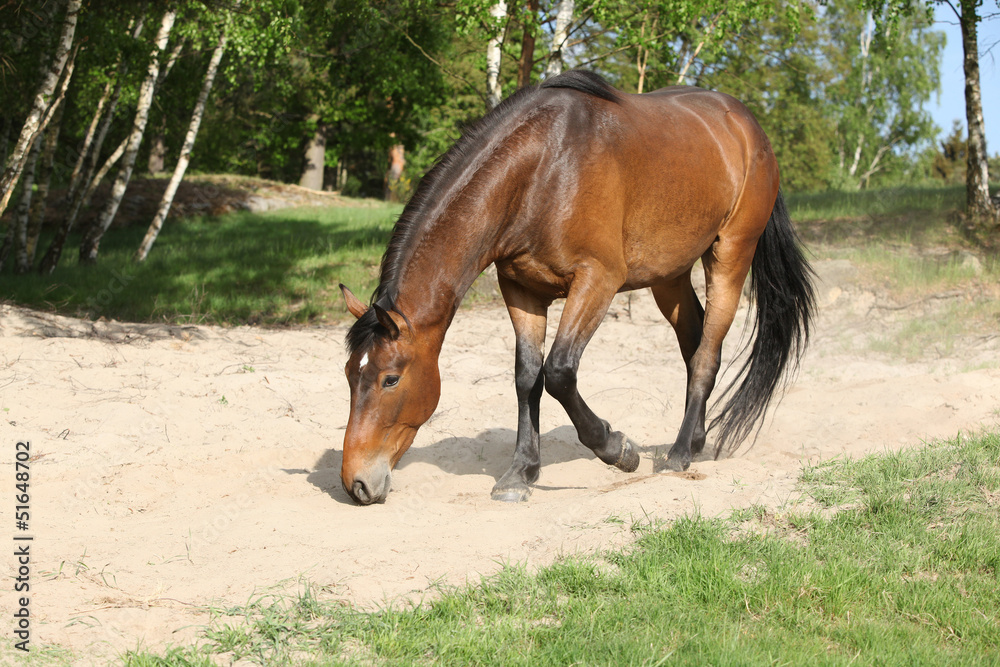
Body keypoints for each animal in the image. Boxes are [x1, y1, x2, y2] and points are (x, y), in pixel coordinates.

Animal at [338, 70, 814, 505]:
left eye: (390, 380)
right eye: (348, 375)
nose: (356, 484)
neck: (541, 169)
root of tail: (748, 127)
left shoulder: (597, 280)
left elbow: (560, 372)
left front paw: (618, 448)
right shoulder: (522, 289)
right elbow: (527, 376)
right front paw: (521, 472)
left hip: (730, 255)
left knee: (707, 353)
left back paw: (679, 455)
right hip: (670, 275)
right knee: (693, 341)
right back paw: (694, 440)